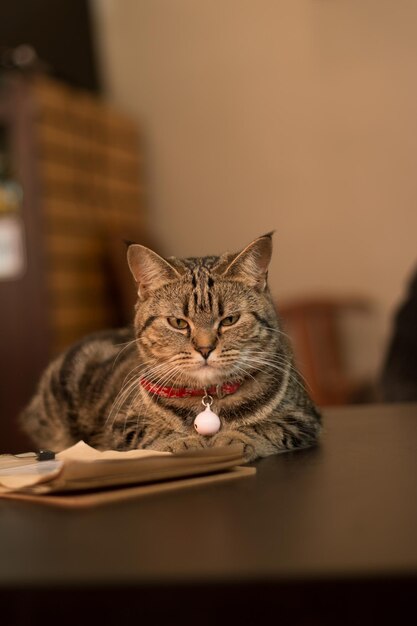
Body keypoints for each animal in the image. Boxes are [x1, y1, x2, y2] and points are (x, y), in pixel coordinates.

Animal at [17, 233, 320, 458]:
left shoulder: (304, 418)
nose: (205, 348)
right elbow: (154, 433)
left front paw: (231, 439)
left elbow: (266, 427)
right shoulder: (122, 426)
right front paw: (184, 442)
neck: (207, 400)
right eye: (178, 322)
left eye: (230, 320)